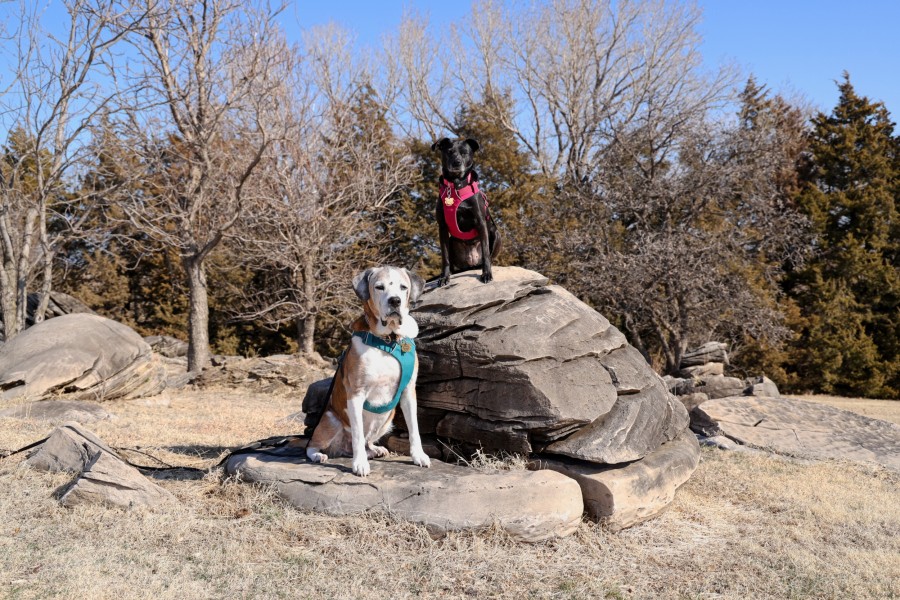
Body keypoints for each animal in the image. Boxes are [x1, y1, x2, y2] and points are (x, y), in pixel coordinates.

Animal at [306, 264, 432, 476]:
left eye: (403, 287)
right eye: (379, 287)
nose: (395, 301)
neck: (388, 342)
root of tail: (342, 448)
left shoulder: (408, 392)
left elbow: (414, 428)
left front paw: (419, 456)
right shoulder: (356, 394)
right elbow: (357, 434)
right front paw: (360, 464)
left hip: (387, 419)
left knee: (366, 442)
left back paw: (374, 450)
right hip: (331, 419)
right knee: (312, 445)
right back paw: (319, 455)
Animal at [432, 138, 502, 286]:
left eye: (464, 152)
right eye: (449, 151)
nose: (456, 163)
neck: (455, 186)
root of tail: (471, 263)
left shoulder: (481, 223)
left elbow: (486, 253)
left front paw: (486, 274)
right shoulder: (442, 227)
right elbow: (445, 257)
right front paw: (444, 277)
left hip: (496, 233)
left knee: (489, 256)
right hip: (452, 241)